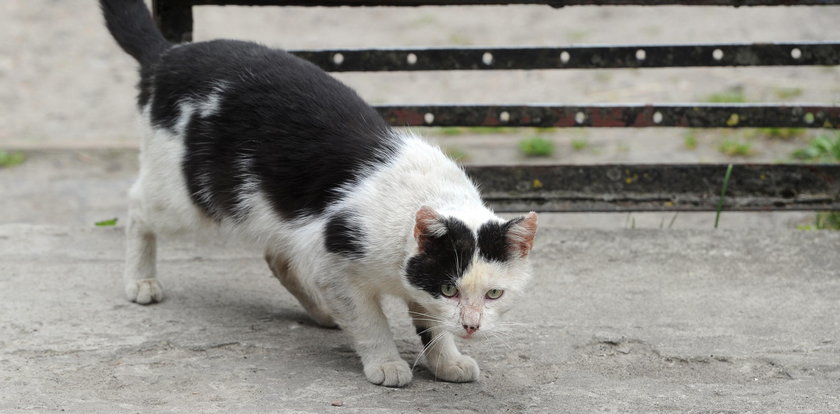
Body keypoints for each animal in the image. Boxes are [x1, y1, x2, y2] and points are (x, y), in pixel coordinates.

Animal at [101, 0, 540, 388]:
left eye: (494, 294)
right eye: (450, 289)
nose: (471, 325)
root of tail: (169, 54)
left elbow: (431, 323)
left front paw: (448, 361)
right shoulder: (335, 258)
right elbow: (370, 320)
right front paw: (386, 364)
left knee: (279, 257)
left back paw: (322, 311)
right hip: (185, 197)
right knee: (137, 207)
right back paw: (141, 281)